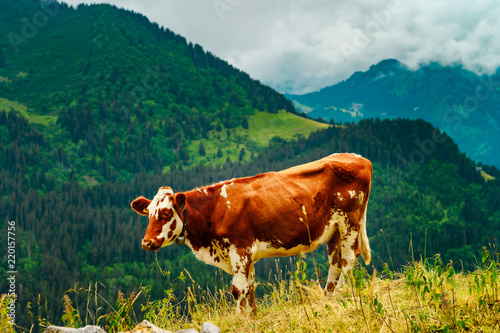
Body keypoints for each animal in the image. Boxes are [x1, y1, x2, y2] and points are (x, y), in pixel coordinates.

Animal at [131, 152, 374, 312]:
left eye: (165, 213)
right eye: (148, 213)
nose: (146, 243)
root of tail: (359, 157)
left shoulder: (240, 249)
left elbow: (238, 290)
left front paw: (241, 318)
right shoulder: (247, 255)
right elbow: (250, 288)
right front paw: (252, 316)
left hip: (350, 222)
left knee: (349, 259)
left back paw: (341, 294)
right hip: (333, 230)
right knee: (335, 262)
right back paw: (327, 298)